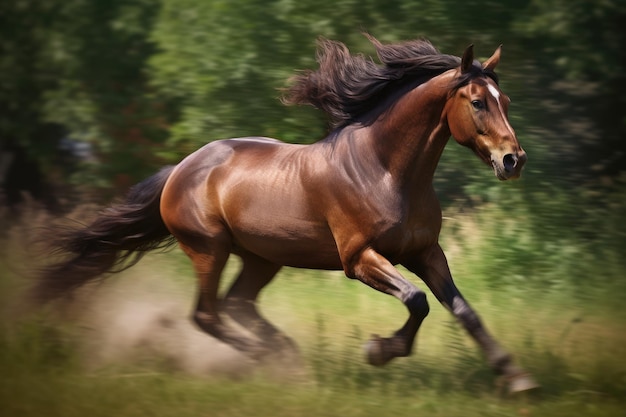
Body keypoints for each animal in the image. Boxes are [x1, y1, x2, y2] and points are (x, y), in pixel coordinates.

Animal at [30, 34, 536, 392]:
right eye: (477, 102)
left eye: (507, 102)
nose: (513, 161)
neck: (386, 170)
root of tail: (180, 169)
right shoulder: (358, 259)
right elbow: (417, 300)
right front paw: (377, 350)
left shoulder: (426, 253)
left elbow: (462, 310)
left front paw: (516, 378)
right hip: (208, 250)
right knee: (208, 315)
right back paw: (282, 366)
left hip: (261, 257)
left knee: (237, 304)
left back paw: (287, 356)